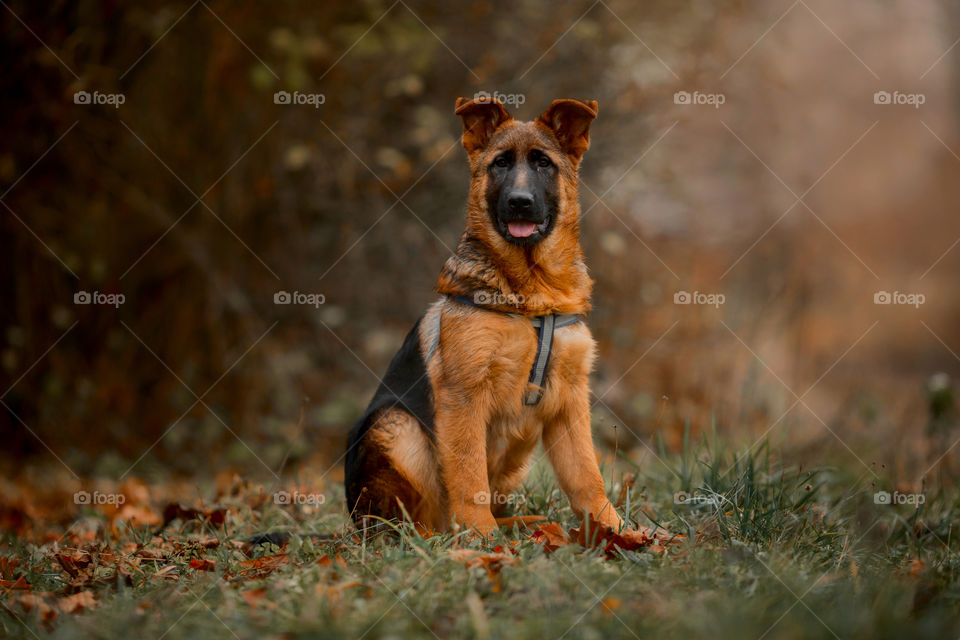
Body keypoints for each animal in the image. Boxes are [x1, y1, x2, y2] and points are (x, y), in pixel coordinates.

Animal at [344, 95, 624, 536]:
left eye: (543, 163)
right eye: (500, 164)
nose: (519, 202)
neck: (531, 295)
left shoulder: (569, 402)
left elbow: (587, 477)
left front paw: (617, 530)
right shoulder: (464, 396)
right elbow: (468, 471)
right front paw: (482, 537)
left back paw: (525, 524)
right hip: (398, 427)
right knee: (404, 524)